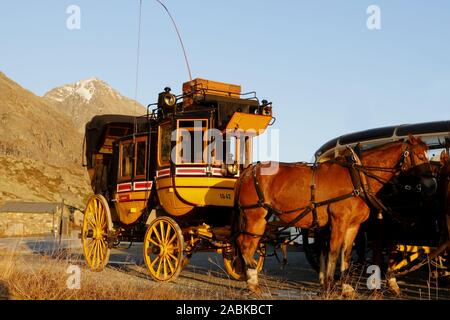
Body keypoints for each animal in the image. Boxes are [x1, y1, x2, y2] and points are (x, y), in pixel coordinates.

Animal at [236, 135, 436, 296]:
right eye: (419, 156)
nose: (433, 185)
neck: (357, 178)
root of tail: (249, 170)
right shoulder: (339, 222)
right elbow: (333, 252)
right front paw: (330, 285)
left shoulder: (353, 225)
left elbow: (346, 253)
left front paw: (346, 287)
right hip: (255, 217)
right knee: (245, 244)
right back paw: (252, 280)